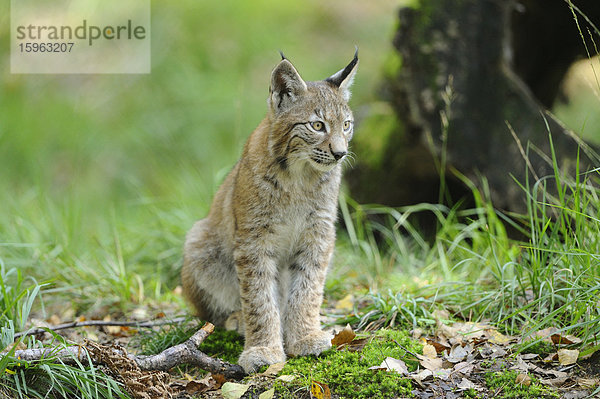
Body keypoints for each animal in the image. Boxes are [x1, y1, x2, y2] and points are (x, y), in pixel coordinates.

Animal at [183, 51, 358, 374]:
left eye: (346, 125)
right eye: (317, 126)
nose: (340, 154)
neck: (299, 176)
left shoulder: (318, 232)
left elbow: (308, 289)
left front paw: (304, 336)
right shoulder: (254, 239)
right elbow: (259, 297)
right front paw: (263, 350)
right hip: (198, 238)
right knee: (210, 314)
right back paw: (236, 319)